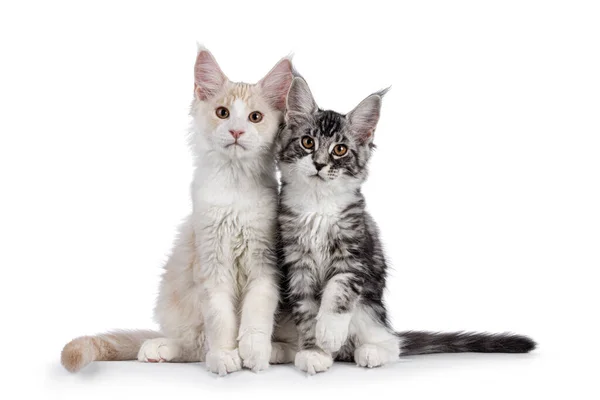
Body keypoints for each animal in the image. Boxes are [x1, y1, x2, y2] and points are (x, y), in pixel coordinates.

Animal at [61, 46, 292, 376]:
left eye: (255, 117)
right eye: (222, 113)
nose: (236, 130)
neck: (234, 186)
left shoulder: (265, 262)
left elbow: (256, 314)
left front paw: (254, 352)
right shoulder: (210, 263)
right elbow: (220, 320)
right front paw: (225, 356)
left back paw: (277, 350)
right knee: (196, 345)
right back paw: (159, 348)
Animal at [272, 76, 536, 374]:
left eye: (340, 150)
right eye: (307, 142)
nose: (318, 164)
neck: (318, 205)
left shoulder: (354, 255)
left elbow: (337, 294)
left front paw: (328, 333)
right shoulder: (296, 262)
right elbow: (306, 312)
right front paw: (313, 351)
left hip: (368, 309)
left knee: (391, 344)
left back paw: (369, 352)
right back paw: (282, 350)